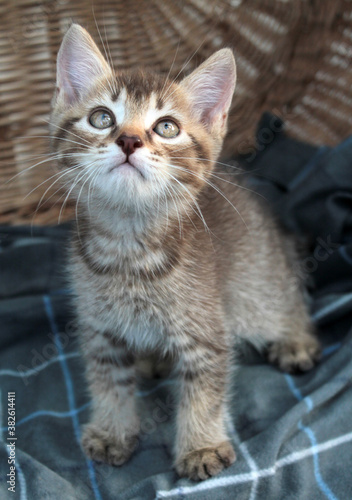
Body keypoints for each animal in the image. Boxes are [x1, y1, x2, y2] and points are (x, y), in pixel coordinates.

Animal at [52, 24, 322, 480]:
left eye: (166, 127)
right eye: (102, 118)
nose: (128, 140)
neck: (129, 248)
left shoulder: (206, 332)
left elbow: (203, 394)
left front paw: (200, 447)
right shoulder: (100, 330)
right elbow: (109, 384)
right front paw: (111, 430)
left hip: (255, 293)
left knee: (288, 301)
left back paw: (297, 340)